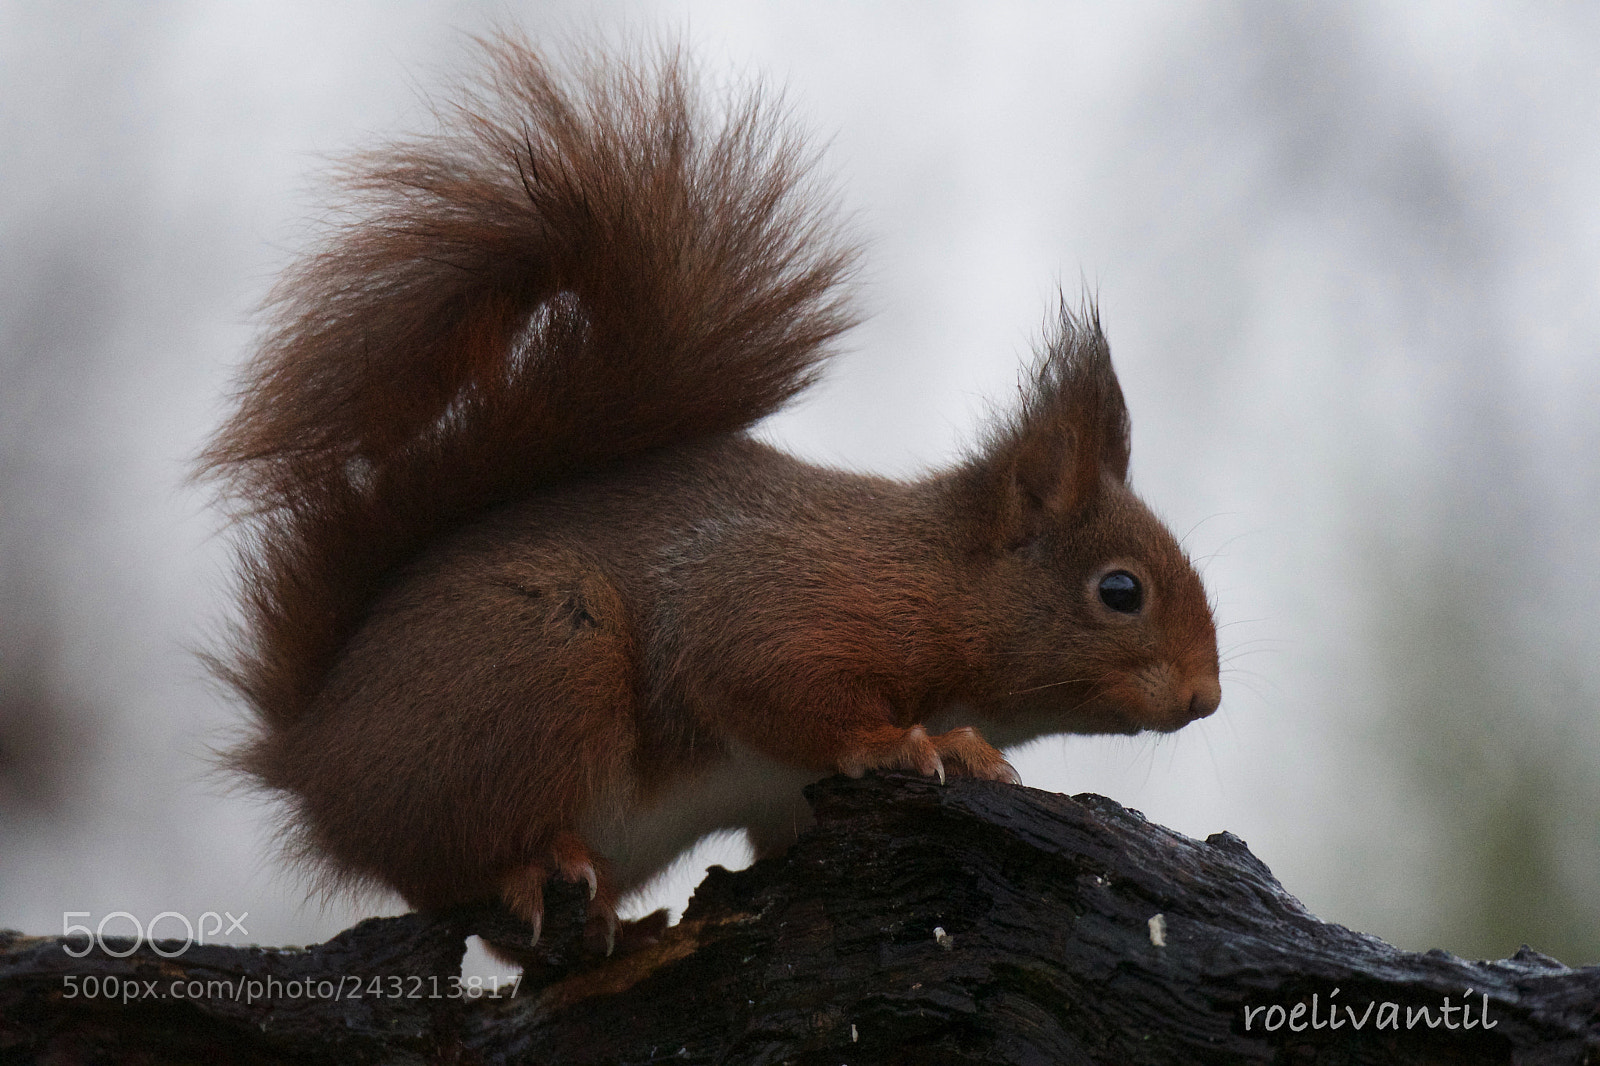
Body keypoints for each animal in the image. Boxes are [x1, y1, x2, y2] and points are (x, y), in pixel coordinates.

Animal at [200, 34, 1221, 959]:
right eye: (1120, 591)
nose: (1206, 698)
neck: (934, 573)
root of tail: (310, 758)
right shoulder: (785, 606)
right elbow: (778, 685)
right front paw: (904, 741)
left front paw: (962, 750)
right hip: (540, 662)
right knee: (449, 862)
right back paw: (533, 865)